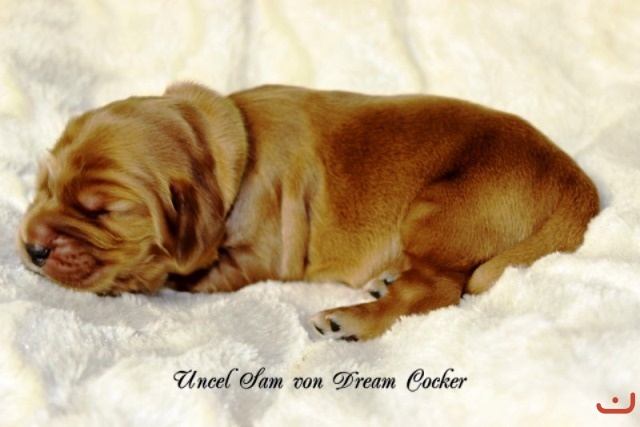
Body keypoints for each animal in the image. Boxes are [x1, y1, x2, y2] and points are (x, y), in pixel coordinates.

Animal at [18, 82, 599, 341]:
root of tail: (576, 185)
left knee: (437, 289)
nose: (31, 247)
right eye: (44, 185)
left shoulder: (254, 258)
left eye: (103, 210)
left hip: (441, 210)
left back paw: (352, 319)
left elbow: (177, 274)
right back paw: (386, 280)